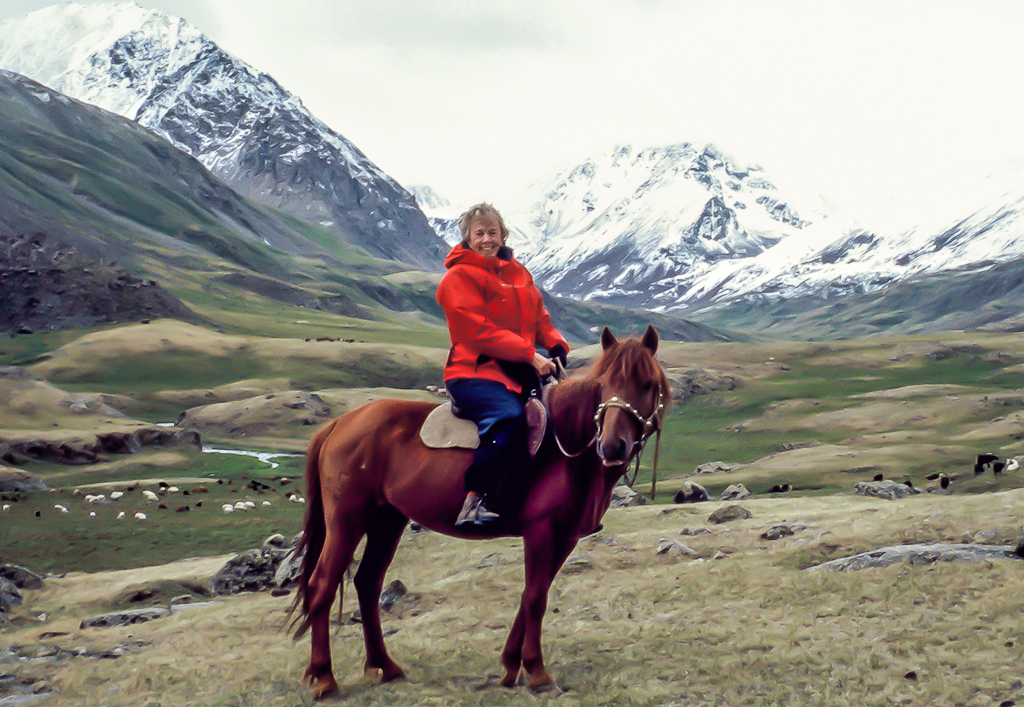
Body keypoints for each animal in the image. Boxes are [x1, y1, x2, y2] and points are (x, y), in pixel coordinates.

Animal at [292, 321, 667, 696]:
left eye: (647, 384)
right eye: (603, 385)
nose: (612, 445)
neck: (567, 446)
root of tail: (339, 425)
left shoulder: (565, 537)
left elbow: (533, 594)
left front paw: (512, 666)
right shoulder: (541, 531)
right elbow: (535, 598)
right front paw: (537, 672)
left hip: (387, 521)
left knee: (368, 584)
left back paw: (386, 667)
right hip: (347, 521)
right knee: (322, 584)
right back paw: (324, 678)